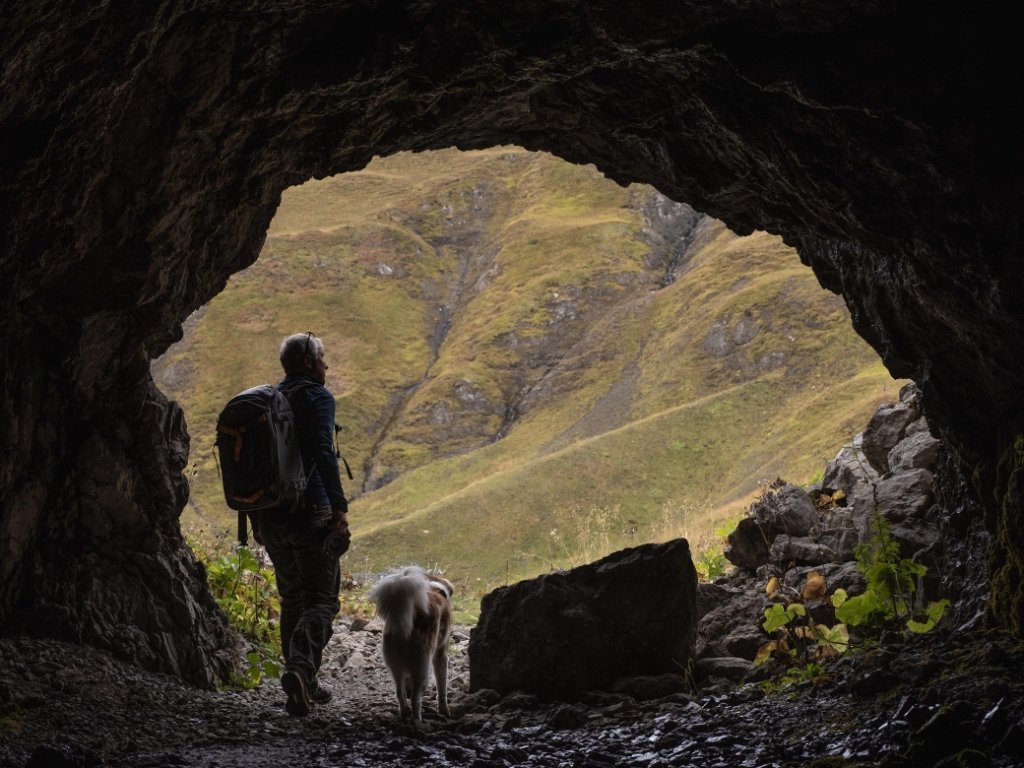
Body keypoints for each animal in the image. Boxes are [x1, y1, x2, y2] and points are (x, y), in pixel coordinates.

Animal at [364, 565, 452, 720]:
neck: (435, 589)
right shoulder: (440, 654)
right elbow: (442, 687)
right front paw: (444, 710)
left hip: (395, 665)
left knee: (400, 692)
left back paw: (405, 712)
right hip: (422, 667)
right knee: (416, 699)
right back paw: (417, 719)